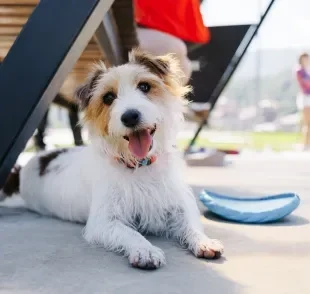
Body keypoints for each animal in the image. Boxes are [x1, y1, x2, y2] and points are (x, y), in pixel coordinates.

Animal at [0, 49, 223, 270]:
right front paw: (145, 250)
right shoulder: (104, 221)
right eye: (108, 97)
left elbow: (191, 225)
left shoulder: (177, 206)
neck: (139, 166)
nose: (130, 116)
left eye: (144, 86)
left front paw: (204, 241)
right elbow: (130, 233)